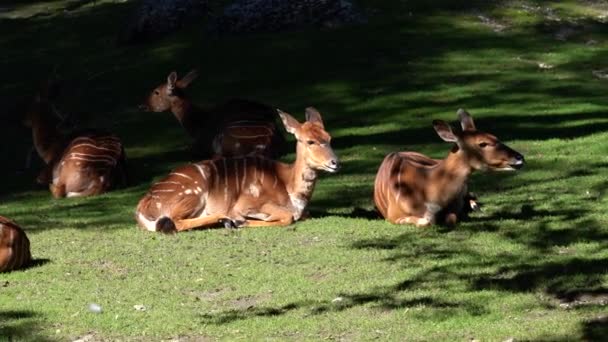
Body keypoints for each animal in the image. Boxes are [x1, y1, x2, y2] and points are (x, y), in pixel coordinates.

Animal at [135, 106, 340, 232]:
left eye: (329, 138)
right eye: (310, 141)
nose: (335, 162)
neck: (289, 186)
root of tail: (142, 205)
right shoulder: (247, 203)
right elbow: (286, 217)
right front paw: (243, 221)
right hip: (192, 194)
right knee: (175, 221)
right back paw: (228, 220)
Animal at [372, 109, 524, 227]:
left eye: (495, 136)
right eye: (483, 143)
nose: (520, 157)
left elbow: (450, 218)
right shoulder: (393, 216)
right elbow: (426, 222)